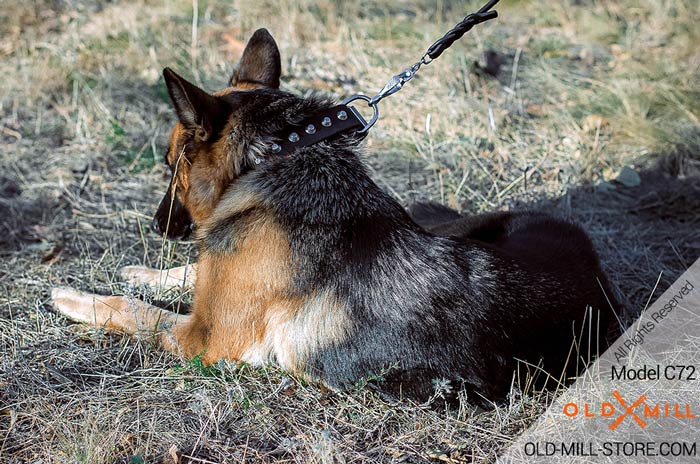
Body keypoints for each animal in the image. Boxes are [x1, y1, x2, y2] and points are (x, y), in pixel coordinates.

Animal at [52, 29, 616, 400]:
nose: (156, 226)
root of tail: (592, 267)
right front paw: (143, 271)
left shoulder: (201, 338)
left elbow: (135, 310)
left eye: (171, 166)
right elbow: (184, 273)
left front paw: (76, 299)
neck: (271, 159)